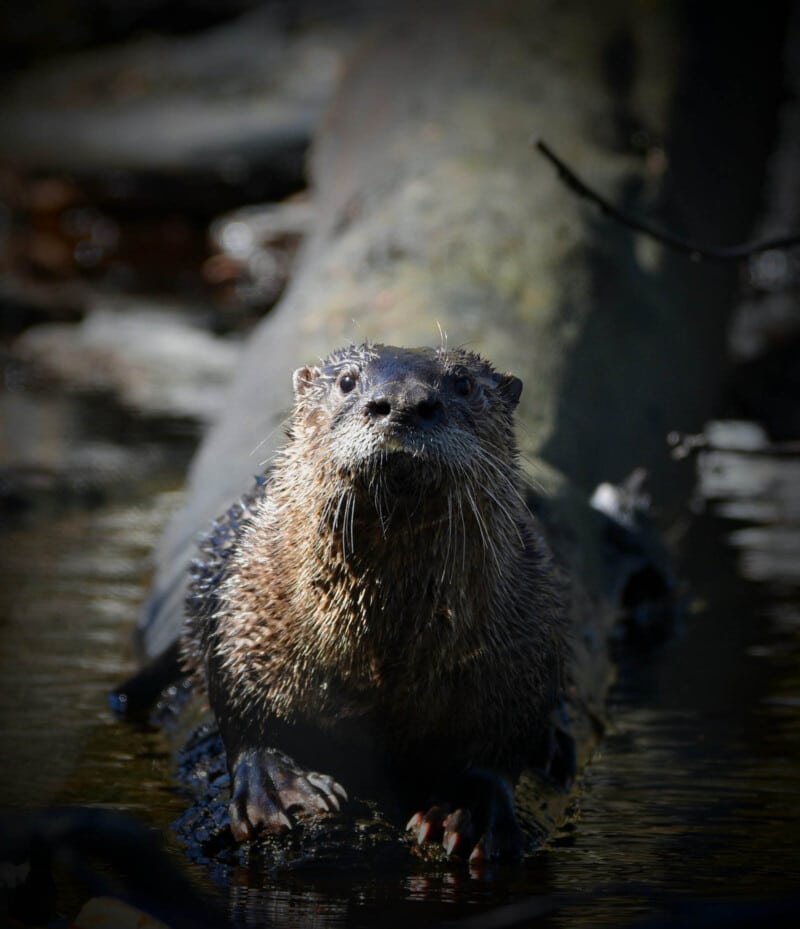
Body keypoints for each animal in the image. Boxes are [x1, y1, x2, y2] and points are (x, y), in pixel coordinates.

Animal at [183, 344, 568, 860]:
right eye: (347, 381)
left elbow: (502, 743)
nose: (403, 404)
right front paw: (276, 782)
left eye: (464, 383)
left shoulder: (525, 632)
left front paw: (470, 808)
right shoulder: (248, 596)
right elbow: (241, 703)